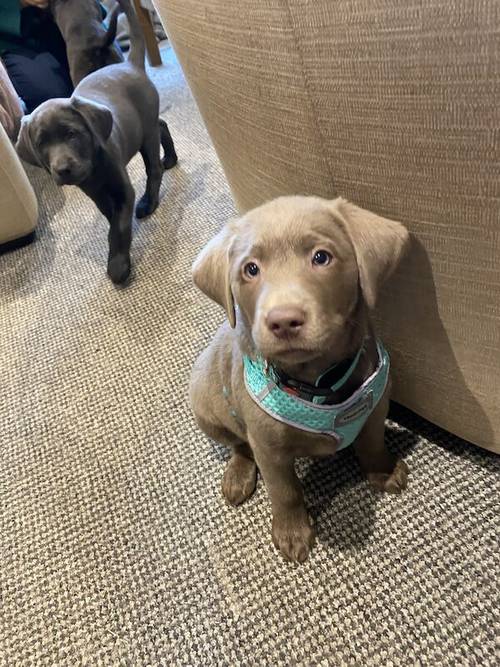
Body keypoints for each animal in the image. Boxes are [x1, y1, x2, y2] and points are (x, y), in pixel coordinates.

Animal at [17, 0, 178, 284]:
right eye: (42, 144)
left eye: (72, 134)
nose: (63, 169)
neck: (94, 167)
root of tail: (131, 65)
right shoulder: (96, 194)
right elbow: (112, 220)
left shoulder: (122, 189)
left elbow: (120, 226)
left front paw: (118, 264)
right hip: (143, 124)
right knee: (161, 125)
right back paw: (170, 158)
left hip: (145, 134)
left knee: (153, 167)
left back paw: (149, 200)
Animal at [190, 197, 410, 564]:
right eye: (251, 269)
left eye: (321, 257)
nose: (283, 321)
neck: (320, 381)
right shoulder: (269, 449)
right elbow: (285, 491)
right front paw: (292, 531)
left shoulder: (376, 408)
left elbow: (372, 442)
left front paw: (382, 469)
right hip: (205, 408)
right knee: (240, 444)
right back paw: (238, 474)